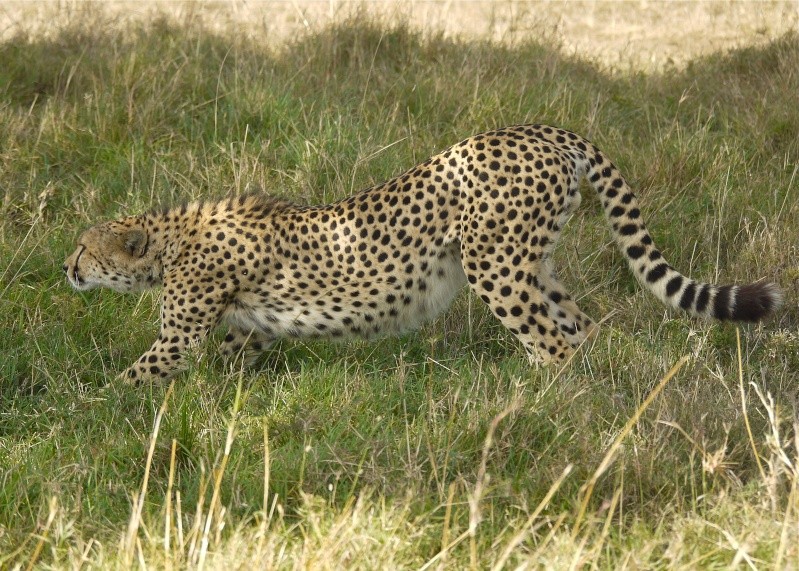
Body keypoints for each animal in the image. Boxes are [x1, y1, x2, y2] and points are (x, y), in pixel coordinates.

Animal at [62, 125, 780, 384]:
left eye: (83, 248)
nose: (65, 269)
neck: (167, 239)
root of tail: (548, 129)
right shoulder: (249, 328)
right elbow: (231, 363)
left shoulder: (180, 333)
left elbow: (135, 376)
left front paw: (91, 407)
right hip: (534, 263)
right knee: (581, 328)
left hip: (495, 266)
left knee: (552, 342)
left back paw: (537, 403)